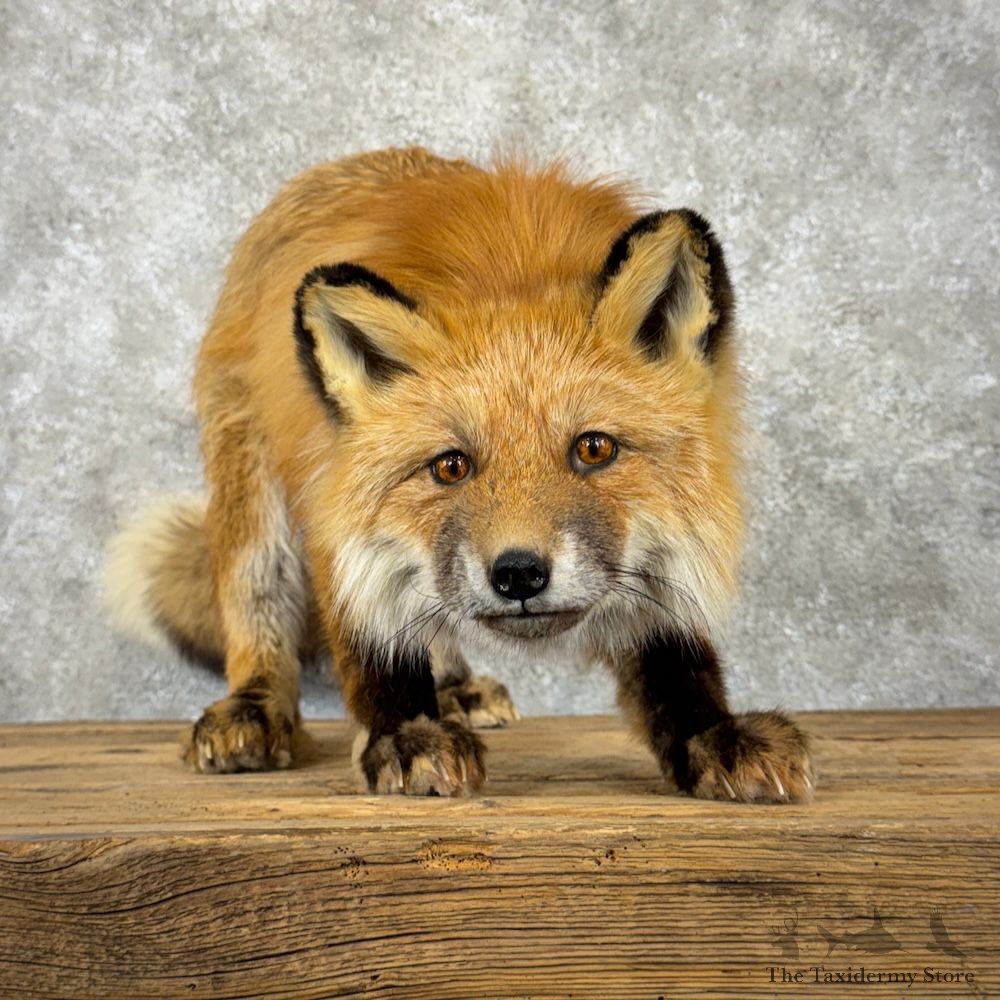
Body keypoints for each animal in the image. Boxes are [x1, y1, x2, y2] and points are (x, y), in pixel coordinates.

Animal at [106, 146, 814, 802]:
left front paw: (712, 734)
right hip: (254, 491)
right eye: (451, 465)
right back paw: (255, 707)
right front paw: (403, 733)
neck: (511, 265)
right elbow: (373, 639)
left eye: (593, 450)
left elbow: (671, 661)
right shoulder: (332, 495)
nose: (518, 574)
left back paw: (451, 687)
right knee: (263, 609)